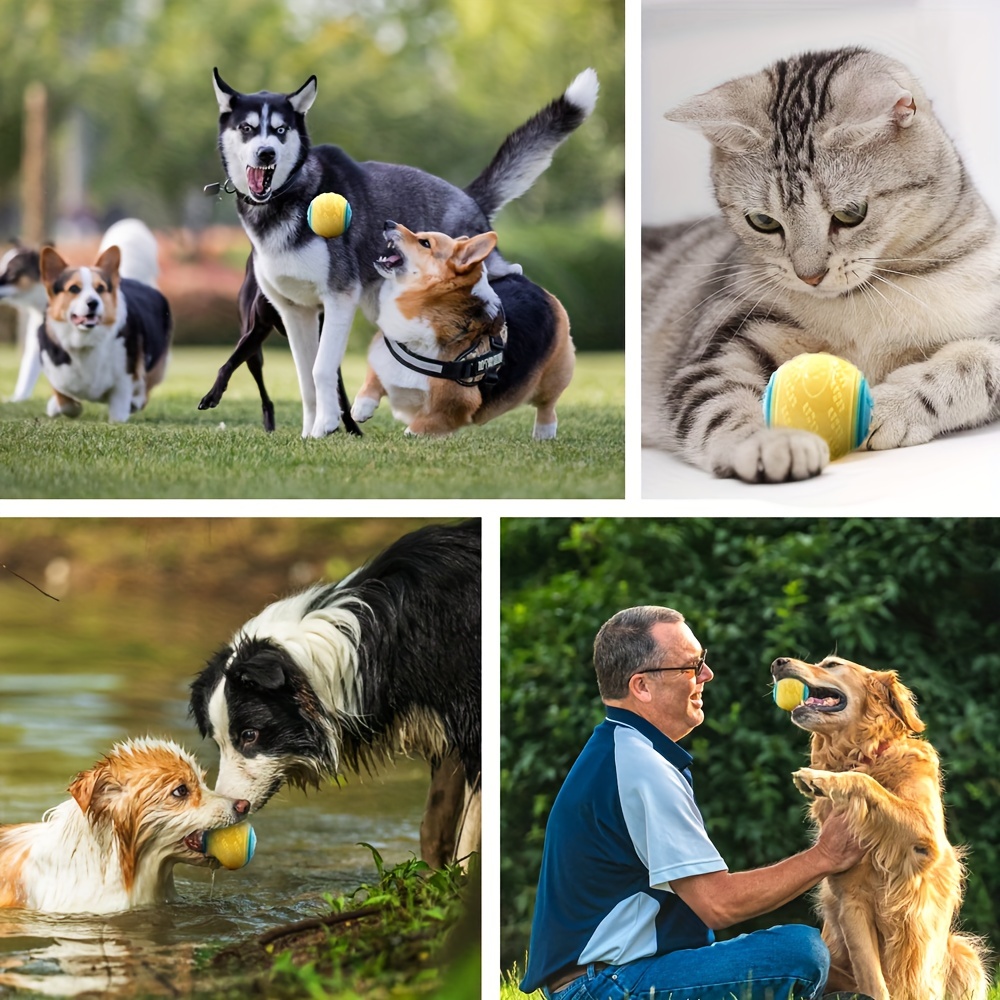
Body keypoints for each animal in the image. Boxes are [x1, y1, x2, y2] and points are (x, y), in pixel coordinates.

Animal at [39, 247, 171, 426]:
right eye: (74, 289)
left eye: (100, 288)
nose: (93, 302)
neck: (85, 341)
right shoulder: (55, 372)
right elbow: (65, 400)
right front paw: (58, 406)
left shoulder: (124, 379)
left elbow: (118, 411)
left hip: (154, 365)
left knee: (144, 391)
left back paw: (135, 402)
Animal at [352, 223, 576, 438]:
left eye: (425, 243)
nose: (388, 222)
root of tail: (529, 283)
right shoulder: (381, 356)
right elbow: (372, 383)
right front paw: (360, 409)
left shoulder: (454, 405)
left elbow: (422, 425)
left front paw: (412, 435)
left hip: (553, 375)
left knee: (547, 405)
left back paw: (544, 432)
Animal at [640, 47, 1000, 484]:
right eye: (762, 222)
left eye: (851, 214)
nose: (809, 276)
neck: (863, 300)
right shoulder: (721, 346)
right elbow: (720, 404)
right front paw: (770, 442)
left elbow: (972, 366)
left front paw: (889, 406)